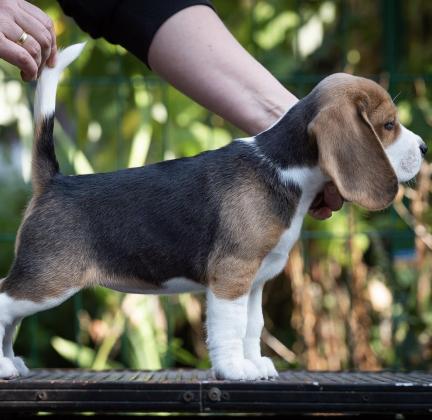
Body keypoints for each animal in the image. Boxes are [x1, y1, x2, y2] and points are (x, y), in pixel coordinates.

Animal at [0, 44, 426, 378]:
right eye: (389, 125)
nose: (424, 148)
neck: (282, 166)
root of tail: (54, 182)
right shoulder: (231, 276)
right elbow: (229, 330)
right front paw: (235, 370)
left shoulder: (254, 282)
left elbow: (252, 327)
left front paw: (255, 364)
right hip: (47, 281)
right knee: (5, 303)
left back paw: (10, 363)